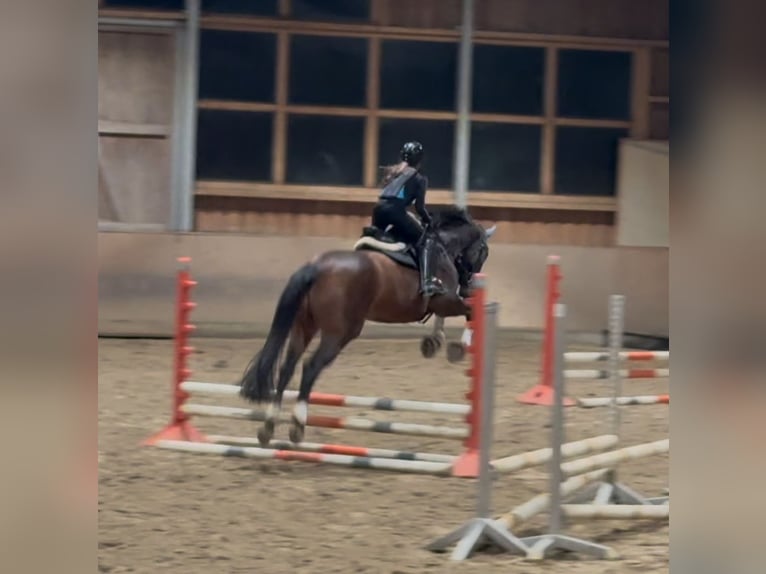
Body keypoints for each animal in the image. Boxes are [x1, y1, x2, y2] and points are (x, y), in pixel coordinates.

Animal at [237, 207, 498, 446]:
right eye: (484, 252)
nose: (468, 281)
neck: (444, 245)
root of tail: (317, 267)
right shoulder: (446, 301)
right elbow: (470, 312)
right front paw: (457, 347)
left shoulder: (443, 303)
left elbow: (454, 314)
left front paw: (433, 343)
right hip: (339, 333)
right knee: (310, 367)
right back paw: (297, 427)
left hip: (304, 326)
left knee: (287, 367)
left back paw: (268, 427)